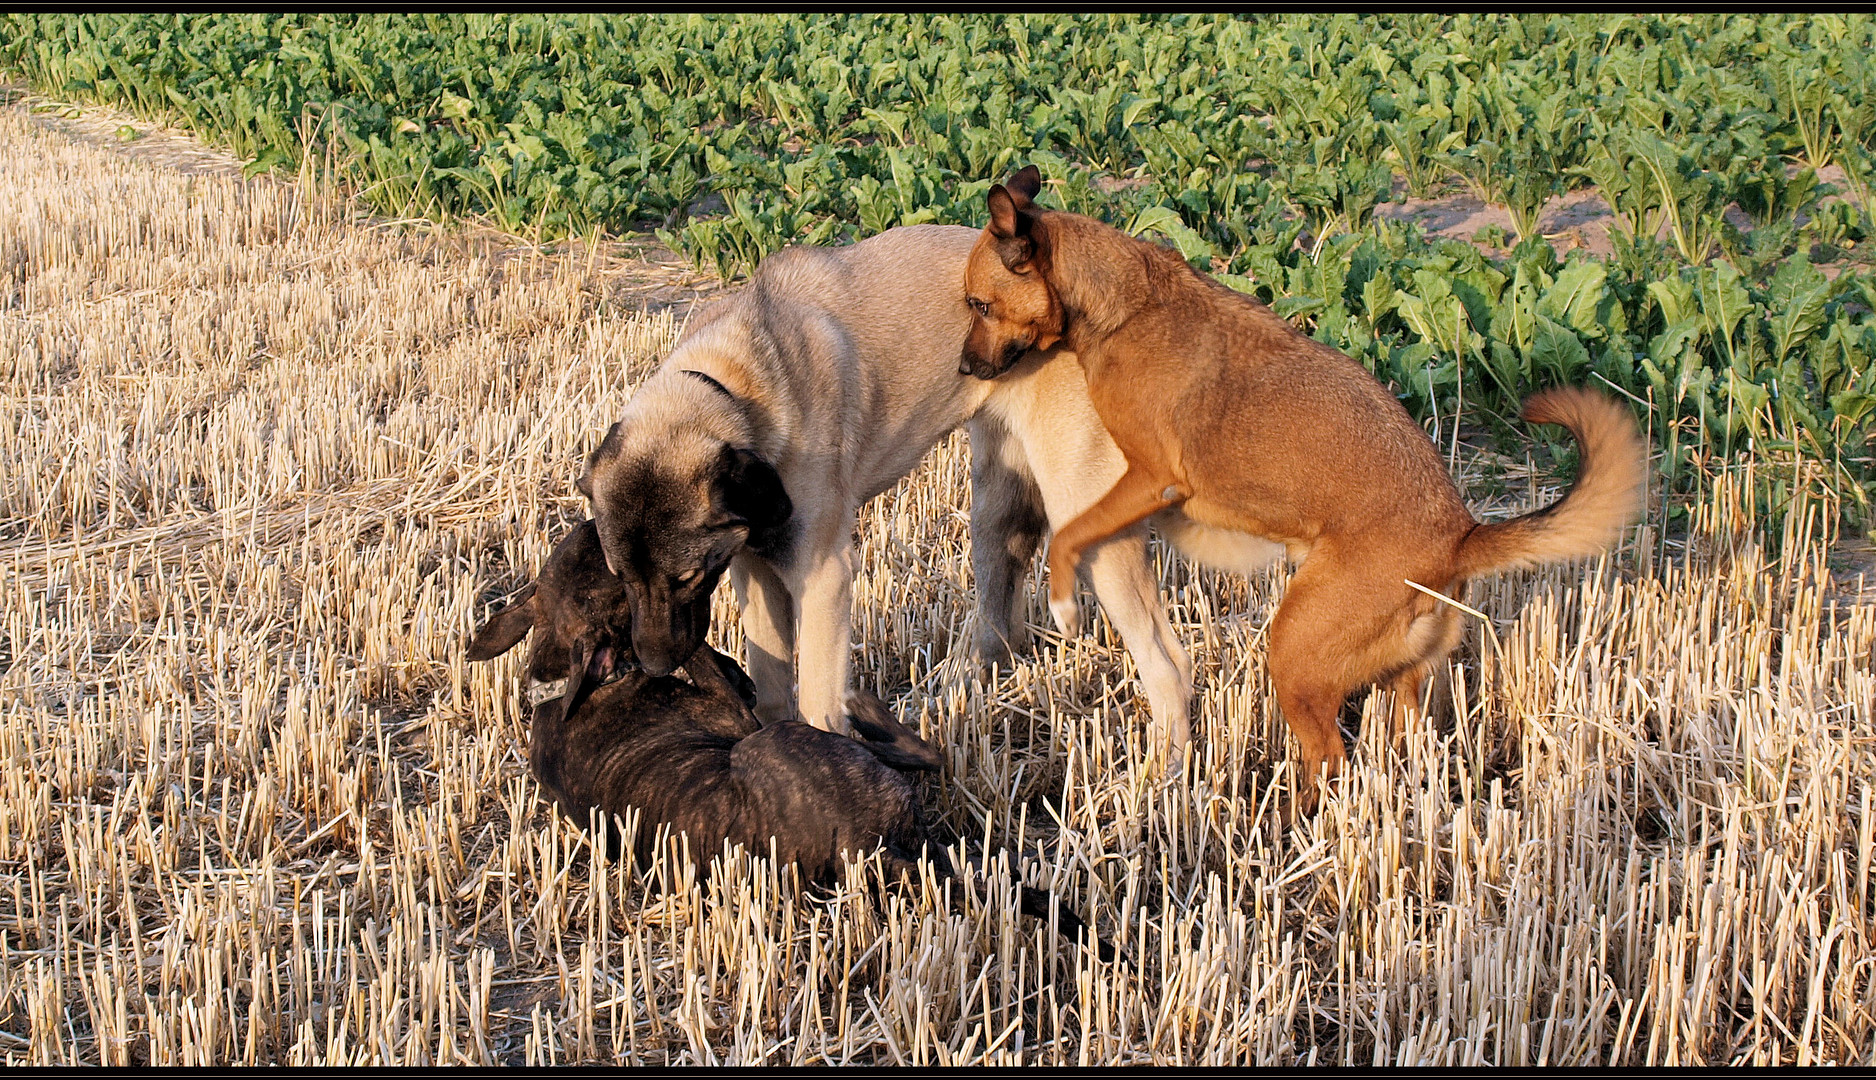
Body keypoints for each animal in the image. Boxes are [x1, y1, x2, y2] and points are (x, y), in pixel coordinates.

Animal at [472, 521, 1110, 952]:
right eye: (605, 569)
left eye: (576, 551)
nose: (591, 522)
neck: (563, 686)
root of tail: (868, 850)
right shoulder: (734, 718)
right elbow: (699, 658)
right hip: (778, 742)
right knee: (923, 754)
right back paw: (865, 708)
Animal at [960, 168, 1650, 806]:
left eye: (978, 305)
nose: (965, 367)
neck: (1123, 303)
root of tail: (1460, 537)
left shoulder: (1150, 480)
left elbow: (1069, 535)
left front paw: (1064, 604)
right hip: (1402, 686)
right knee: (1394, 753)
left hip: (1293, 651)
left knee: (1329, 761)